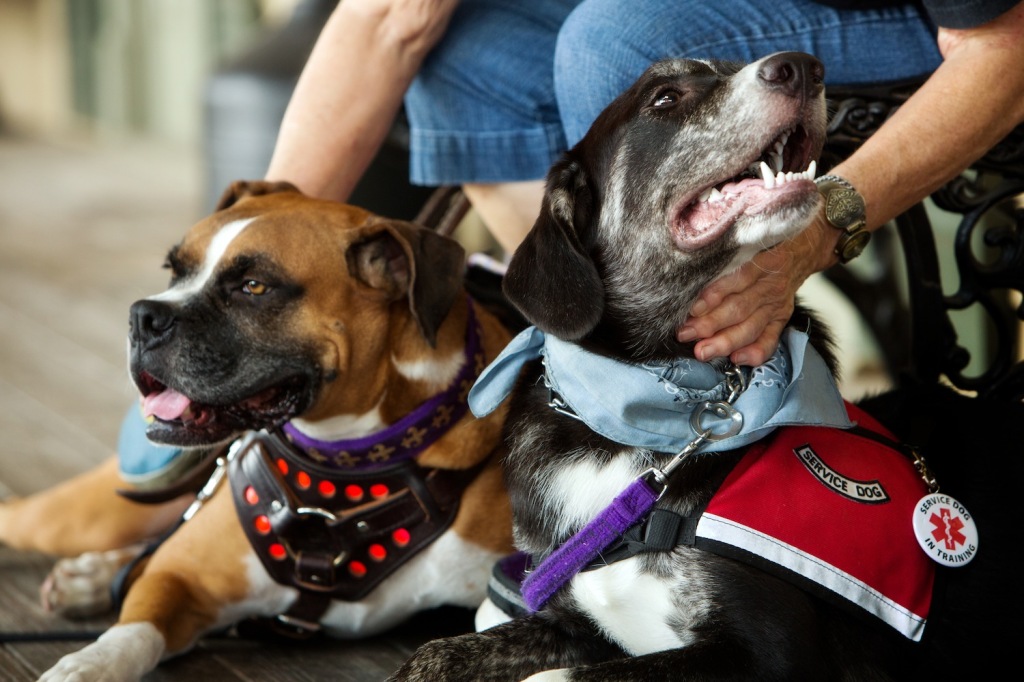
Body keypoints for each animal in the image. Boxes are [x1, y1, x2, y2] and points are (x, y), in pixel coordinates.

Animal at [0, 180, 512, 679]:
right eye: (174, 270)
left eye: (253, 286)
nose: (141, 316)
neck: (348, 463)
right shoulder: (181, 578)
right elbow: (133, 632)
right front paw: (89, 663)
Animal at [389, 53, 1015, 679]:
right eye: (665, 98)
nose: (803, 66)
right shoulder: (572, 620)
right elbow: (434, 652)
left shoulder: (768, 654)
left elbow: (555, 676)